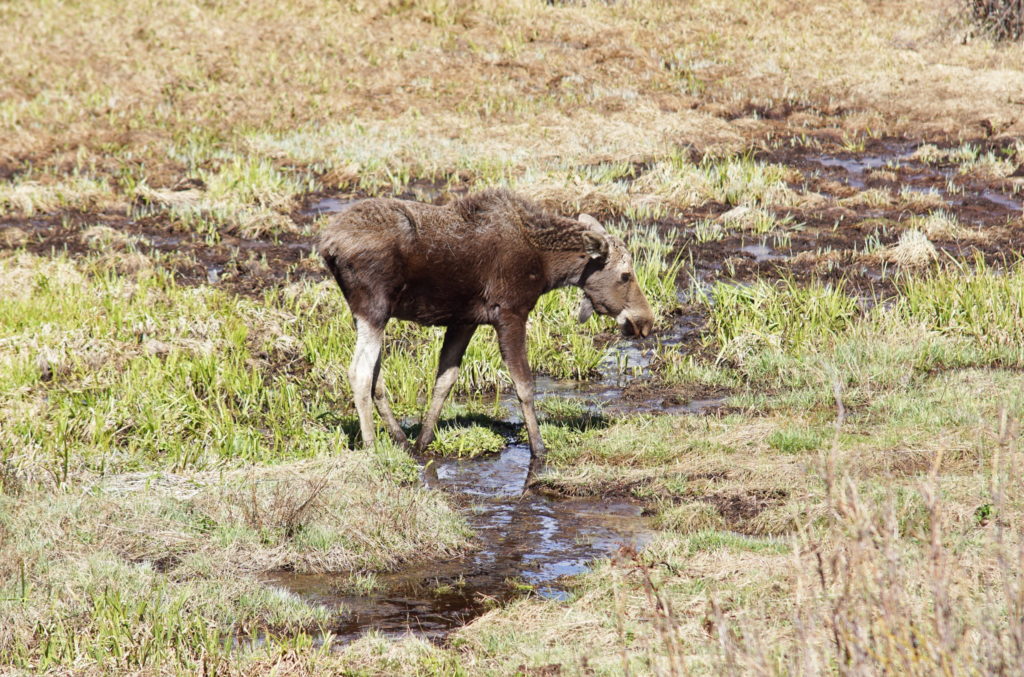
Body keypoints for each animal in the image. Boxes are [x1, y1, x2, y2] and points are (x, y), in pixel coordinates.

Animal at [319, 187, 655, 475]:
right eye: (626, 275)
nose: (645, 321)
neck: (546, 267)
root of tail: (328, 245)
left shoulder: (465, 321)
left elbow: (445, 379)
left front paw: (423, 441)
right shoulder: (510, 312)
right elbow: (524, 385)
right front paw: (539, 449)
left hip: (369, 313)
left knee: (376, 377)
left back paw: (400, 438)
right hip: (374, 307)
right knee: (359, 372)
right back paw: (371, 446)